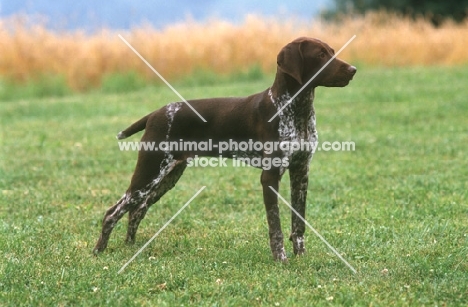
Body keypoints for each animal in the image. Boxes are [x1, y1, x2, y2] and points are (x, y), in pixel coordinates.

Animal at [93, 36, 354, 262]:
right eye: (321, 55)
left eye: (332, 51)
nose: (353, 70)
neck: (295, 109)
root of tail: (155, 114)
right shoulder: (270, 176)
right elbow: (276, 226)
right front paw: (280, 259)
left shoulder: (301, 171)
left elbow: (298, 223)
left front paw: (301, 257)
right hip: (149, 172)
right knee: (113, 212)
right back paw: (99, 251)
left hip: (167, 176)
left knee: (136, 211)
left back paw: (130, 246)